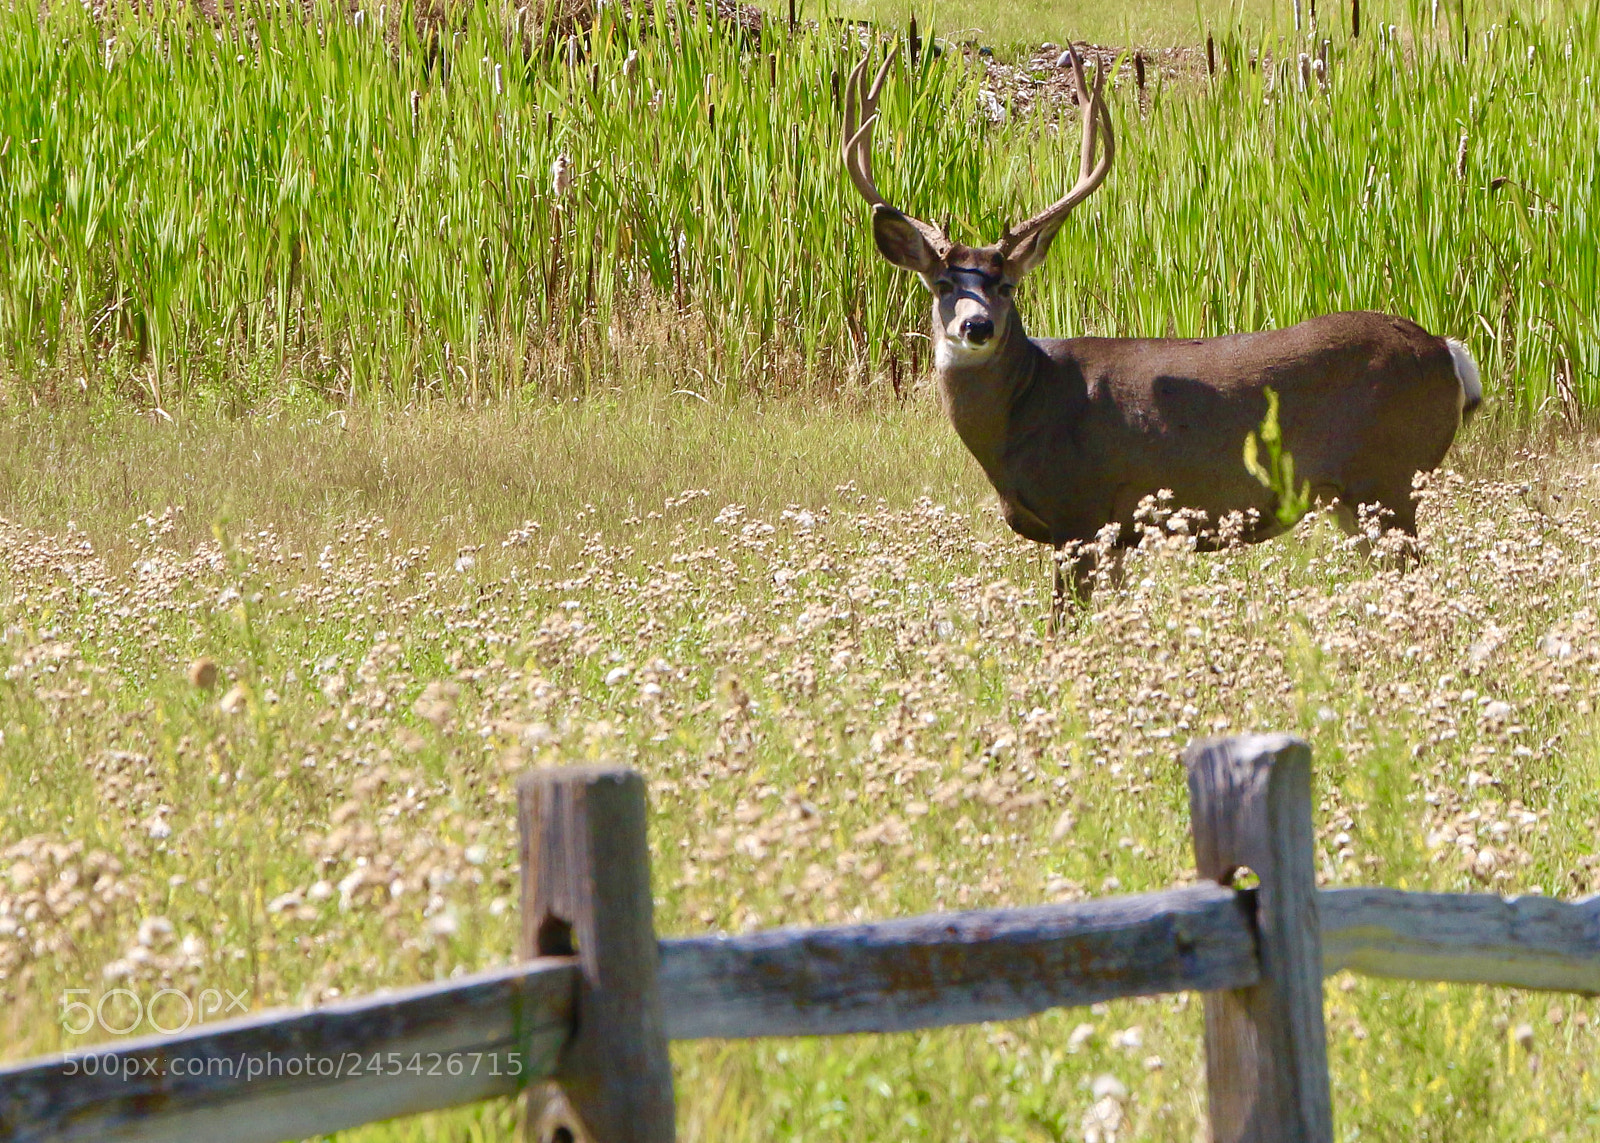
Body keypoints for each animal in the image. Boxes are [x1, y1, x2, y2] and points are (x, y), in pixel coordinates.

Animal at [844, 42, 1478, 624]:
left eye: (1006, 286)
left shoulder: (1080, 509)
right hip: (1353, 498)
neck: (1029, 408)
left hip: (1391, 476)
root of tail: (1447, 351)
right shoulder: (1114, 531)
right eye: (941, 284)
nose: (976, 325)